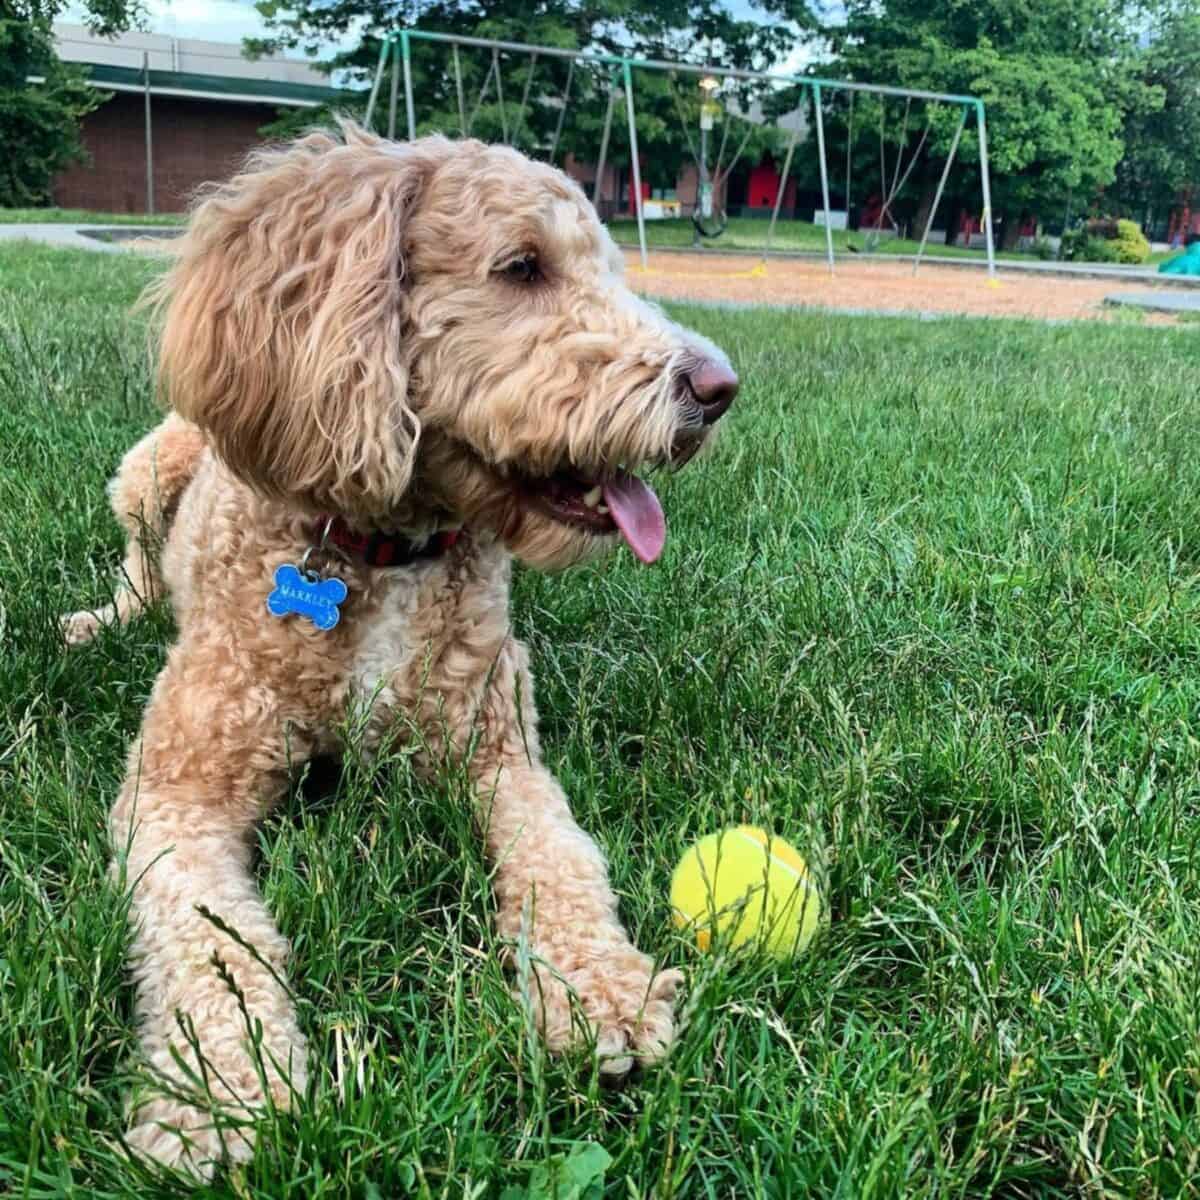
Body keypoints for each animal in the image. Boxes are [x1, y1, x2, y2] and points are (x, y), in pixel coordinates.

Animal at [68, 119, 739, 1171]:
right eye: (521, 266)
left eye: (609, 267)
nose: (717, 388)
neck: (379, 551)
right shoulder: (177, 794)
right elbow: (209, 938)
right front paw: (220, 1090)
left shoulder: (500, 753)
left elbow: (561, 857)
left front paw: (598, 990)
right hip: (147, 470)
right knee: (136, 565)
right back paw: (105, 619)